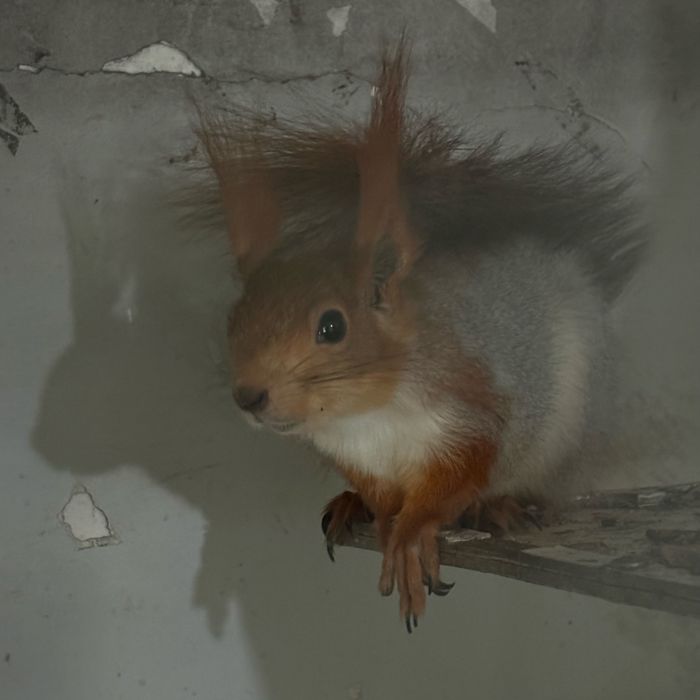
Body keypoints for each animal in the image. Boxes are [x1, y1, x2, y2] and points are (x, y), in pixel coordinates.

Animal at [188, 37, 647, 632]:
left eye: (332, 325)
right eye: (233, 319)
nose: (249, 396)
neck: (366, 416)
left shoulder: (471, 412)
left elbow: (454, 481)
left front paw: (410, 535)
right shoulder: (358, 457)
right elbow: (384, 496)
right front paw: (378, 515)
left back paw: (499, 505)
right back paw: (353, 505)